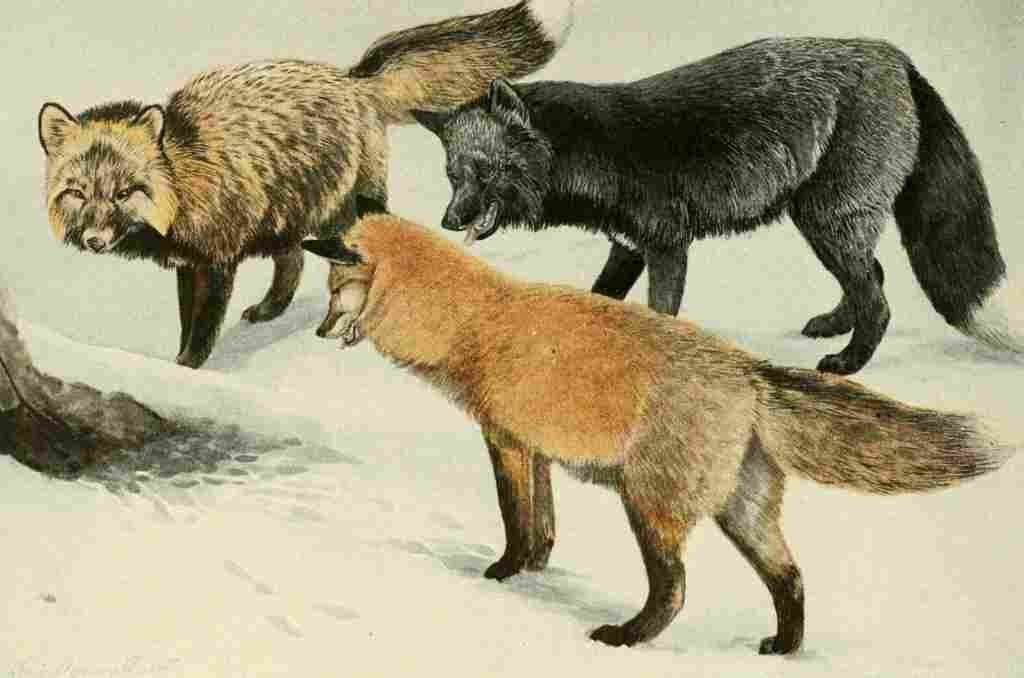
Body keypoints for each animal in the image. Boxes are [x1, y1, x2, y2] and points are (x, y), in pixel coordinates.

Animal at [36, 0, 575, 369]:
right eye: (78, 192)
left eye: (126, 192)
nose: (94, 240)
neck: (188, 177)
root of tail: (351, 79)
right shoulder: (190, 262)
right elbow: (188, 319)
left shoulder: (216, 260)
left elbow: (202, 329)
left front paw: (187, 369)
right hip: (285, 216)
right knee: (293, 259)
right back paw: (271, 309)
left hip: (345, 207)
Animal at [300, 207, 1013, 654]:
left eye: (335, 289)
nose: (317, 331)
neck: (470, 321)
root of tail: (748, 372)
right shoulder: (535, 447)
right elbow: (544, 526)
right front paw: (534, 570)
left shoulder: (504, 441)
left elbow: (514, 518)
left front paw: (502, 572)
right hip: (742, 512)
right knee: (791, 578)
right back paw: (783, 649)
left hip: (649, 503)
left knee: (675, 590)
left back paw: (627, 637)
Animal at [411, 37, 1024, 376]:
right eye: (453, 177)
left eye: (485, 172)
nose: (448, 220)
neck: (593, 150)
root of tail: (897, 59)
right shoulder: (628, 248)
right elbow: (602, 301)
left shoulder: (666, 245)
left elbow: (660, 314)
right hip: (831, 222)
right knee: (872, 276)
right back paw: (833, 325)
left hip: (826, 221)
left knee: (878, 299)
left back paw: (847, 364)